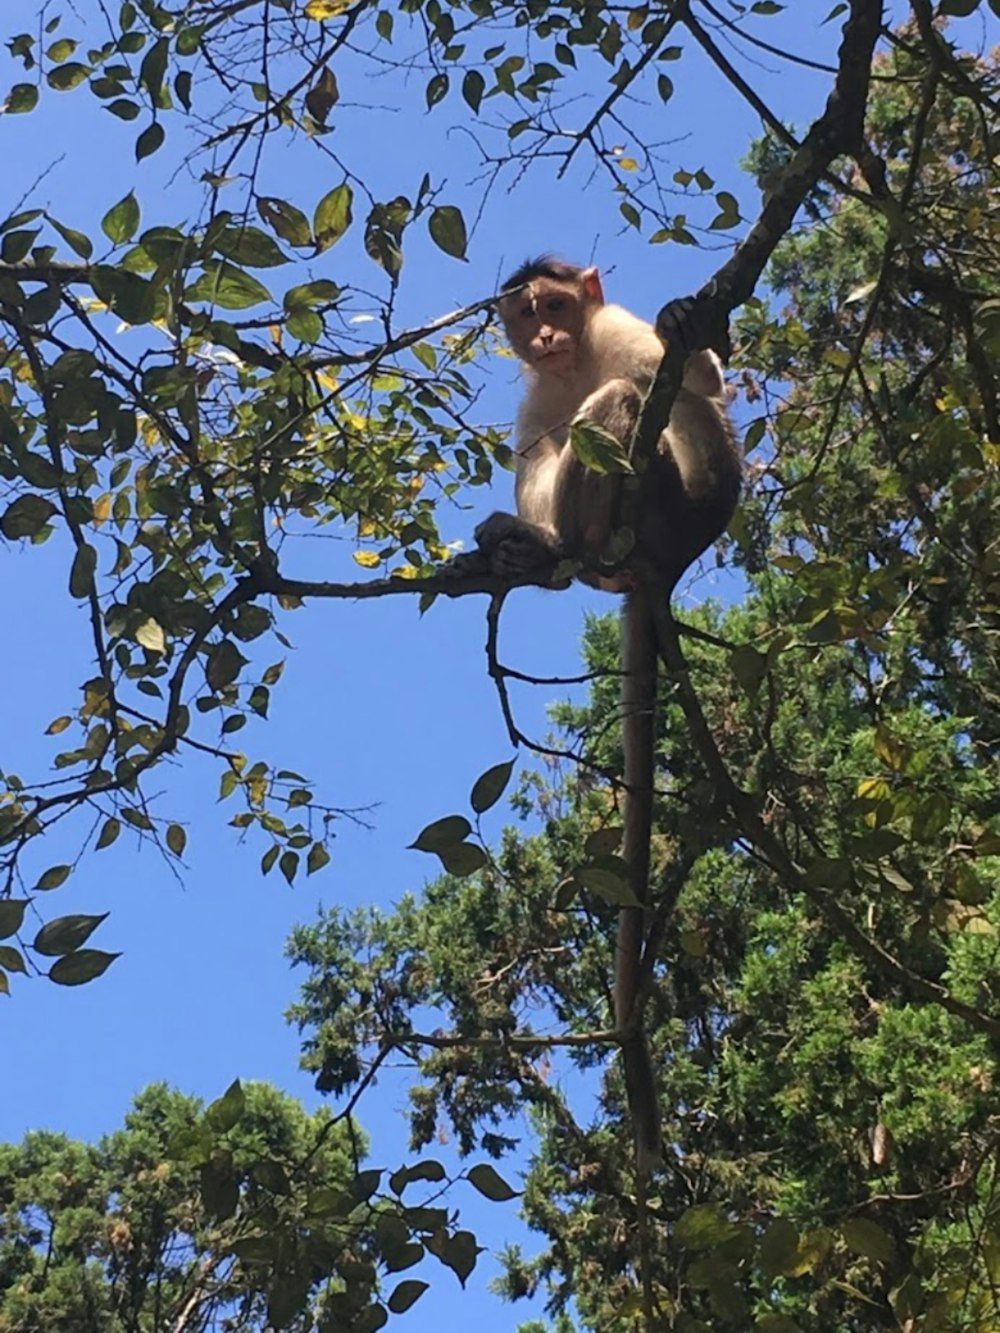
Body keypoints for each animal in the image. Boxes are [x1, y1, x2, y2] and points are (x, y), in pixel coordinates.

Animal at [477, 259, 746, 1178]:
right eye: (527, 316)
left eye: (558, 305)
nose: (546, 334)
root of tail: (668, 560)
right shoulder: (531, 394)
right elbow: (532, 465)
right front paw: (527, 531)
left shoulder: (619, 331)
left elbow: (693, 378)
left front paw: (688, 324)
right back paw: (547, 548)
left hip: (674, 498)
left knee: (633, 402)